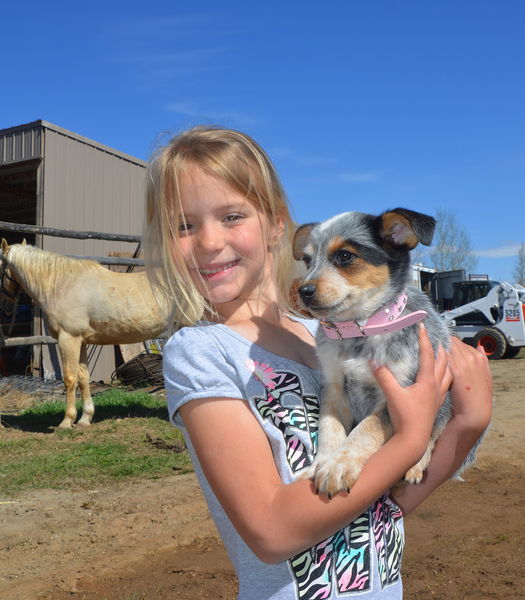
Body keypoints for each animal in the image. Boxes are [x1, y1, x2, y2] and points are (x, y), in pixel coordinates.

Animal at [0, 241, 168, 428]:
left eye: (0, 267)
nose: (6, 308)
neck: (62, 285)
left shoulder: (68, 339)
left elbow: (70, 378)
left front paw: (67, 421)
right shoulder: (81, 342)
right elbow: (83, 378)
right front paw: (85, 418)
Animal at [292, 206, 476, 496]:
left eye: (345, 256)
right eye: (308, 260)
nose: (303, 291)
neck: (360, 332)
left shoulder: (400, 389)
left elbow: (367, 428)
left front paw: (339, 464)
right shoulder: (334, 386)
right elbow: (329, 427)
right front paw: (320, 464)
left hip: (445, 402)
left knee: (432, 435)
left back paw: (415, 467)